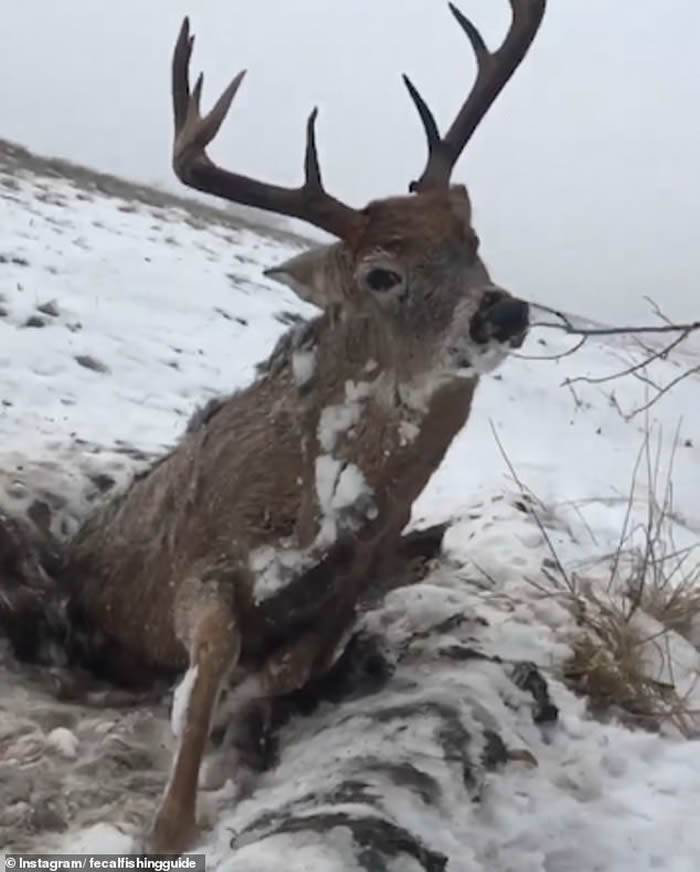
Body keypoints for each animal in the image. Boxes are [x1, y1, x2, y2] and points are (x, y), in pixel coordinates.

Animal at [1, 0, 548, 856]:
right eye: (380, 273)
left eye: (472, 241)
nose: (504, 311)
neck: (310, 512)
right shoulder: (199, 564)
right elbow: (214, 661)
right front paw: (169, 824)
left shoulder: (352, 583)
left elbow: (297, 662)